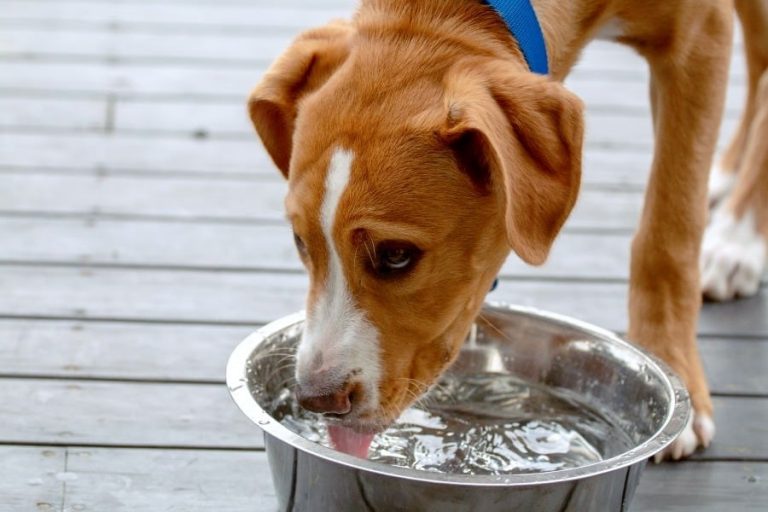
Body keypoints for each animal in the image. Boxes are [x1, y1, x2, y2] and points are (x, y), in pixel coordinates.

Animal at [249, 0, 764, 462]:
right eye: (300, 242)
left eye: (396, 254)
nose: (318, 400)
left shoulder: (699, 32)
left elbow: (669, 226)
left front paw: (671, 364)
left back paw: (739, 237)